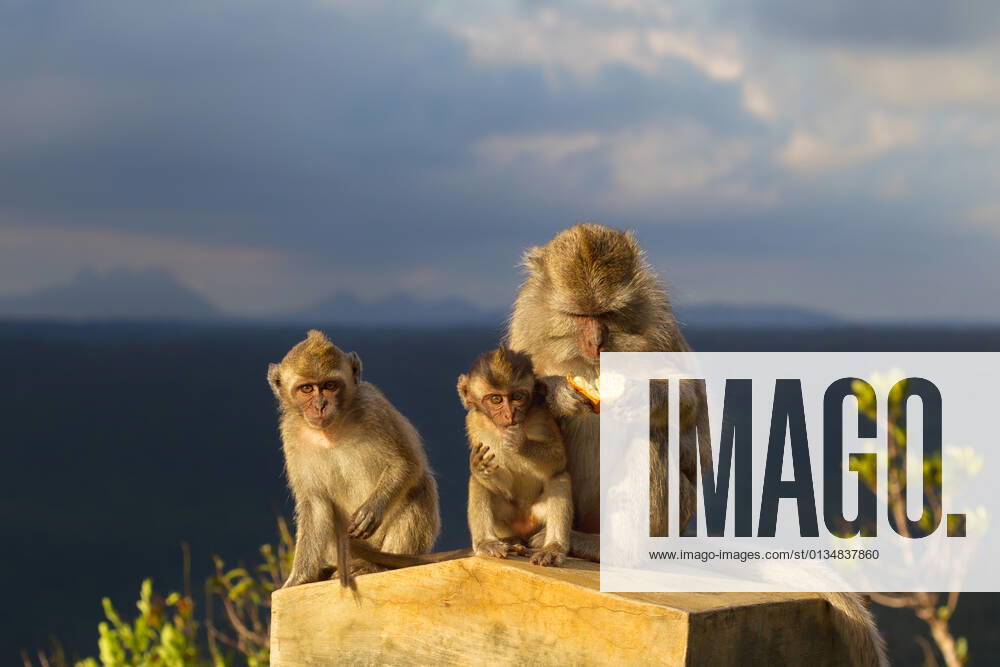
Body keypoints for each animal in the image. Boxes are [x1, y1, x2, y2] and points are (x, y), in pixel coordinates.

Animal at [268, 330, 442, 589]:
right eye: (307, 389)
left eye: (330, 386)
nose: (320, 405)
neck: (330, 431)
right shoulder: (291, 434)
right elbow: (316, 504)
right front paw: (299, 578)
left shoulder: (373, 408)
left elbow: (406, 464)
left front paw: (372, 509)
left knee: (418, 487)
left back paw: (378, 566)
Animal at [457, 346, 573, 567]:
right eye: (496, 399)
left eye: (517, 396)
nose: (510, 414)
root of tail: (523, 523)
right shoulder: (474, 422)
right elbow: (496, 481)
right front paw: (480, 467)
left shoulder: (543, 415)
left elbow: (558, 458)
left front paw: (520, 443)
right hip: (505, 521)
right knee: (477, 483)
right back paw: (488, 542)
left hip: (537, 514)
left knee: (559, 478)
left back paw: (552, 547)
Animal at [506, 224, 887, 667]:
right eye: (579, 315)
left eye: (608, 315)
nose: (595, 342)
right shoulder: (526, 329)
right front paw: (556, 391)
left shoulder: (659, 326)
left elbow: (690, 407)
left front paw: (643, 394)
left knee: (652, 437)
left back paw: (612, 549)